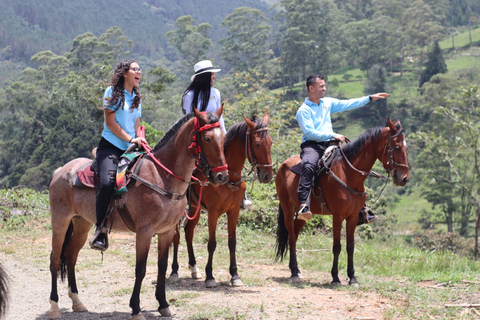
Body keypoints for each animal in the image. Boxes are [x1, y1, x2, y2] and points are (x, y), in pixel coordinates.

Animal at [48, 108, 229, 320]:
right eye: (207, 138)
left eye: (223, 137)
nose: (222, 176)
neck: (162, 177)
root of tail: (62, 171)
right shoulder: (145, 231)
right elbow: (140, 269)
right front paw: (136, 309)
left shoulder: (167, 231)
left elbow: (162, 267)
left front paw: (163, 304)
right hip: (60, 222)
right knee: (54, 260)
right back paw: (54, 307)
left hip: (81, 224)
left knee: (70, 257)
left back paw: (77, 301)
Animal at [170, 115, 274, 288]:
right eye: (257, 144)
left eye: (271, 142)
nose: (267, 175)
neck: (228, 178)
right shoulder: (213, 212)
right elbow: (212, 243)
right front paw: (210, 276)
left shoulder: (234, 211)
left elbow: (232, 242)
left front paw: (235, 275)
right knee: (176, 236)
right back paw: (174, 271)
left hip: (195, 208)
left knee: (188, 232)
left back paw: (194, 268)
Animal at [274, 119, 408, 284]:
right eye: (397, 147)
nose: (404, 178)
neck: (348, 173)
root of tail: (283, 165)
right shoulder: (338, 216)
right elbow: (336, 246)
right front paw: (335, 278)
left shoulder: (353, 217)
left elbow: (350, 246)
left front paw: (352, 277)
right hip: (287, 207)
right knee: (292, 236)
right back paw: (293, 272)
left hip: (303, 214)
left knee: (295, 234)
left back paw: (297, 269)